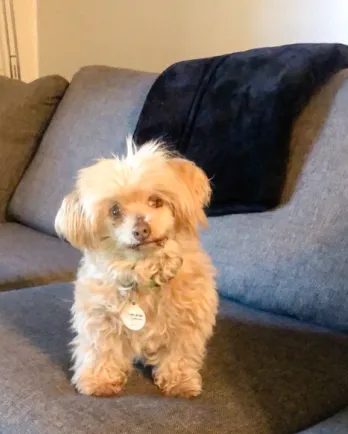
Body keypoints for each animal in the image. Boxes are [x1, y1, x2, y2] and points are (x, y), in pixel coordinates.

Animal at [54, 140, 218, 400]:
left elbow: (179, 354)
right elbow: (101, 349)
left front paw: (180, 382)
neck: (144, 269)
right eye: (114, 211)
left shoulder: (188, 322)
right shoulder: (99, 317)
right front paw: (99, 381)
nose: (141, 230)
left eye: (156, 201)